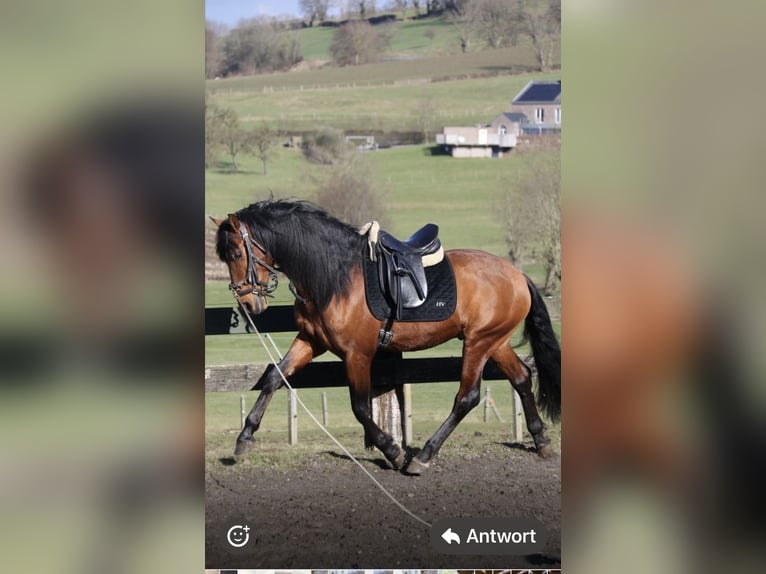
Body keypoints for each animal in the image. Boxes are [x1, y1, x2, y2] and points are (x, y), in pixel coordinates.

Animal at [211, 199, 560, 474]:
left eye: (237, 253)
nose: (247, 304)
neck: (336, 277)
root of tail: (517, 275)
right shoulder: (311, 341)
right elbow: (274, 378)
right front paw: (244, 438)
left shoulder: (357, 354)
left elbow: (360, 408)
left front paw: (392, 451)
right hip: (495, 342)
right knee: (522, 377)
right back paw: (541, 439)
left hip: (478, 342)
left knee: (467, 397)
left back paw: (423, 456)